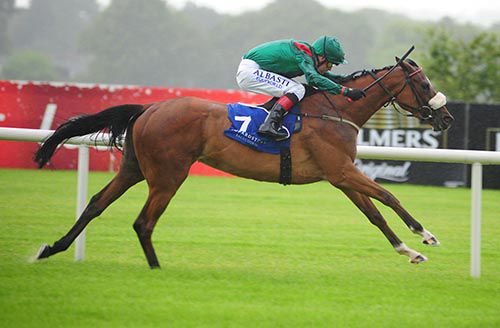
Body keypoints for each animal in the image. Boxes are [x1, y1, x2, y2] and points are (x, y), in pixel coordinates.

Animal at [32, 56, 454, 268]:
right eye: (423, 83)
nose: (447, 117)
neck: (334, 111)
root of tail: (149, 108)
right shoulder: (341, 170)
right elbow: (389, 197)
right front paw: (426, 234)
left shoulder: (339, 175)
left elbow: (375, 214)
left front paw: (409, 251)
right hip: (168, 175)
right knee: (143, 222)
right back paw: (156, 269)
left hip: (135, 169)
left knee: (95, 205)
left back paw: (51, 249)